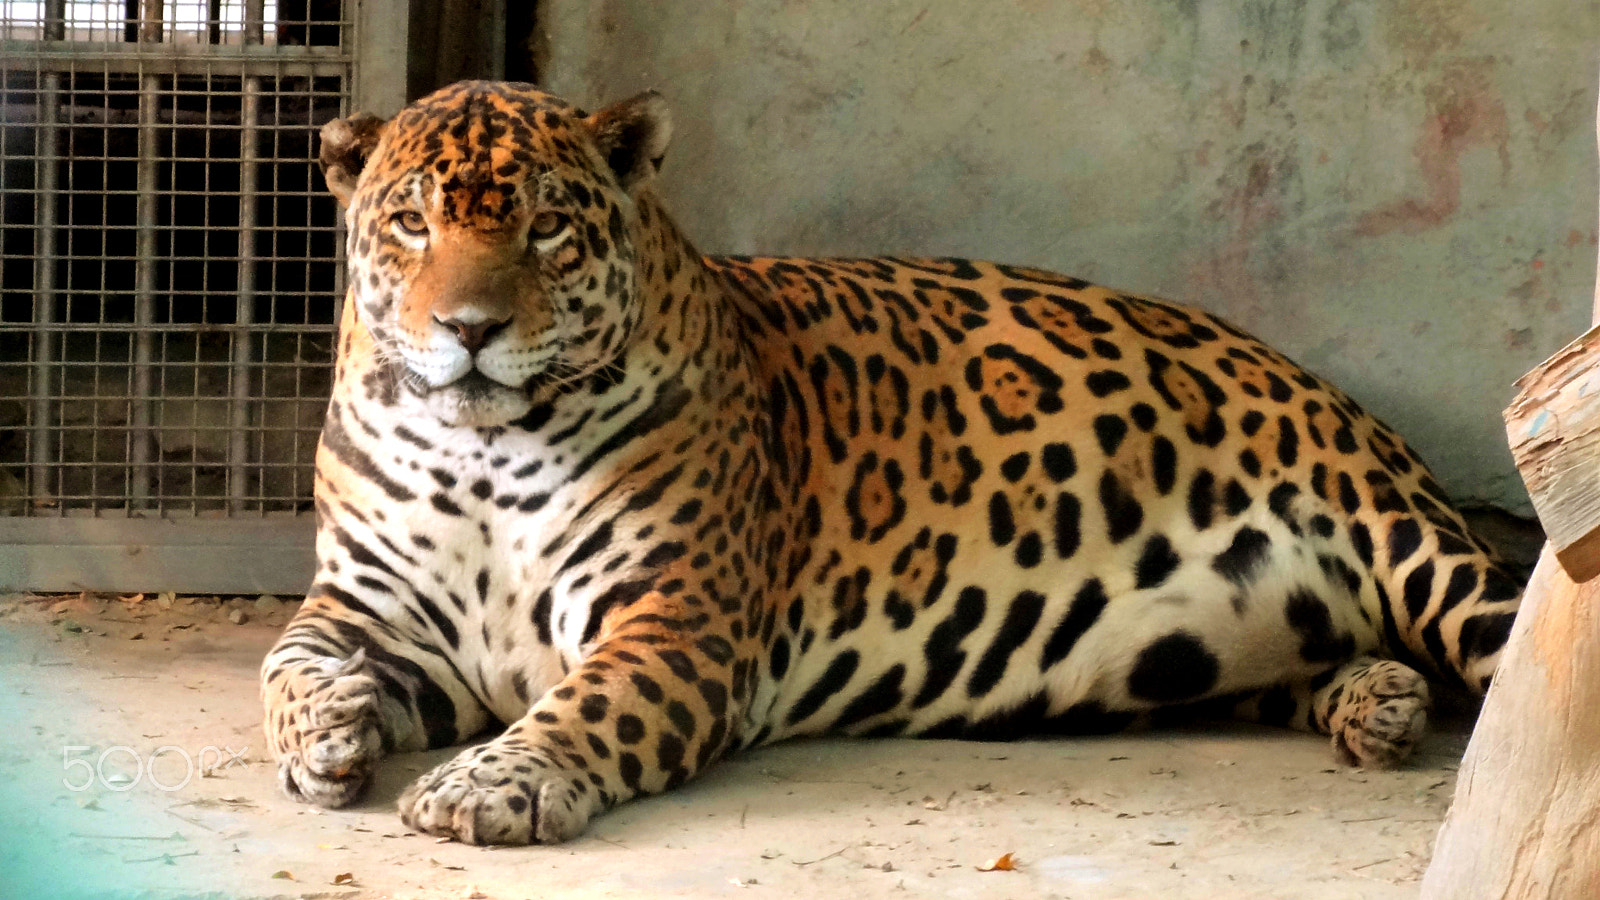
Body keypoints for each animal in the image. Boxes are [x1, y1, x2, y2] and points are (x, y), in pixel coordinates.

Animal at [260, 80, 1522, 846]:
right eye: (412, 224)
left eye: (548, 230)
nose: (468, 328)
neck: (483, 447)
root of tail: (1316, 382)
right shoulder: (368, 608)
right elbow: (280, 667)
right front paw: (330, 731)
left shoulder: (673, 623)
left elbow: (586, 707)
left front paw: (491, 784)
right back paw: (1377, 703)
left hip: (1422, 556)